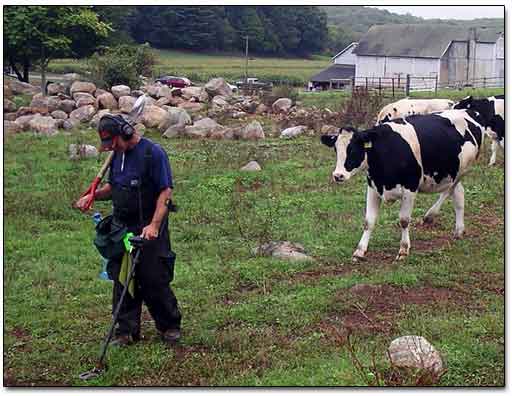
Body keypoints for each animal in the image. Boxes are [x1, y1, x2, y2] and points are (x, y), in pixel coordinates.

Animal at [322, 110, 486, 262]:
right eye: (336, 150)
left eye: (353, 149)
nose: (338, 175)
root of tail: (466, 112)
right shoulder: (373, 187)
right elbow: (369, 221)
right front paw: (360, 250)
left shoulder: (410, 187)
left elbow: (404, 220)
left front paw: (403, 249)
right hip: (453, 170)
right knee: (458, 195)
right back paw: (458, 230)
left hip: (463, 169)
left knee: (449, 190)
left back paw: (430, 215)